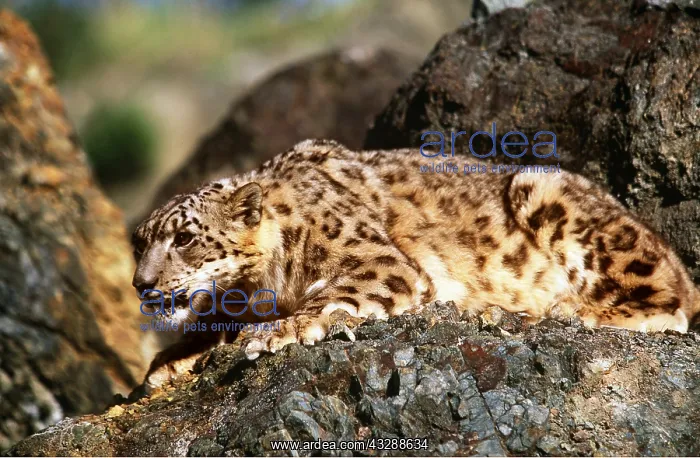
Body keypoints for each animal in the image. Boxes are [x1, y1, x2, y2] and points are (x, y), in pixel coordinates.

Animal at [132, 139, 700, 389]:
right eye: (139, 243)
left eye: (184, 237)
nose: (141, 284)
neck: (264, 284)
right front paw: (170, 360)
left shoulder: (379, 263)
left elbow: (325, 299)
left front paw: (274, 331)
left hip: (550, 195)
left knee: (670, 304)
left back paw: (569, 309)